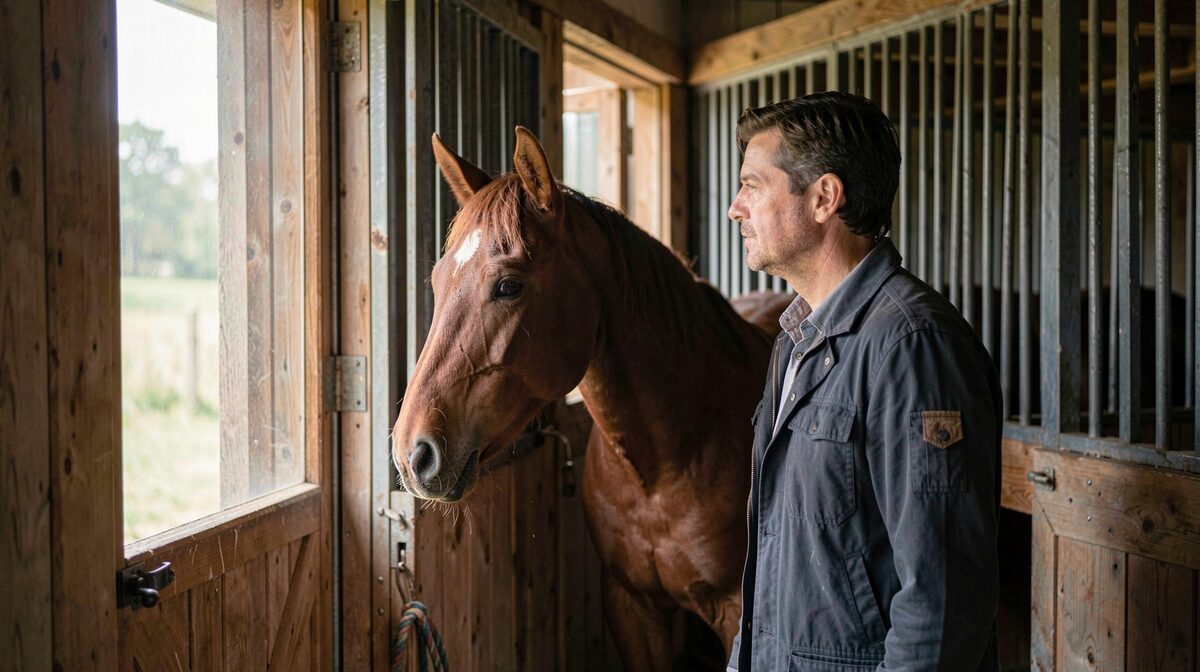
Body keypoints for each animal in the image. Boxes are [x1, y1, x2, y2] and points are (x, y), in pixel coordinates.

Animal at [391, 126, 782, 670]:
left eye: (508, 285)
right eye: (436, 280)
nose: (412, 452)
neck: (663, 470)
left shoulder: (735, 611)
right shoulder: (630, 605)